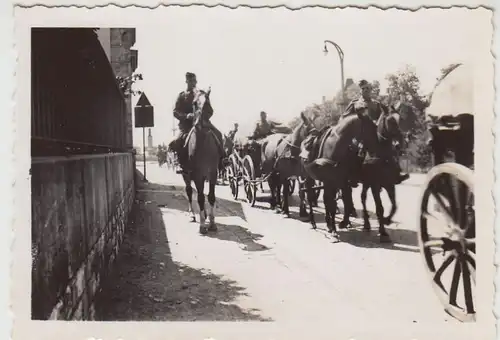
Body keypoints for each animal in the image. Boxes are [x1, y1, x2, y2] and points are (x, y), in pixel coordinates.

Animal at [181, 90, 222, 234]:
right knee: (189, 191)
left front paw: (212, 223)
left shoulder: (213, 173)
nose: (200, 123)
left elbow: (211, 196)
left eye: (208, 102)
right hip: (186, 174)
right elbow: (199, 198)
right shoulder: (198, 175)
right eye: (194, 103)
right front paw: (203, 225)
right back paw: (193, 215)